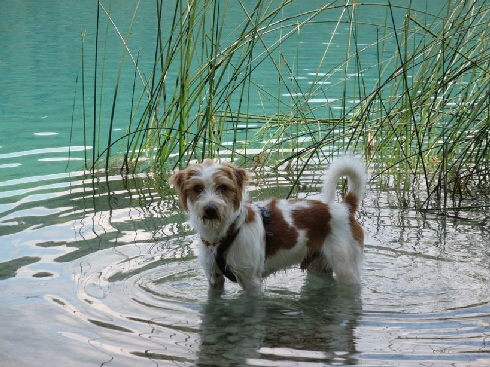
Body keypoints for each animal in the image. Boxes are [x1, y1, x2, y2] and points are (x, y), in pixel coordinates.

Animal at [170, 157, 366, 296]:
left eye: (223, 187)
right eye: (197, 188)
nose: (210, 209)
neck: (224, 232)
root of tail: (345, 207)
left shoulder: (251, 282)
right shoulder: (214, 279)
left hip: (346, 269)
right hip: (318, 267)